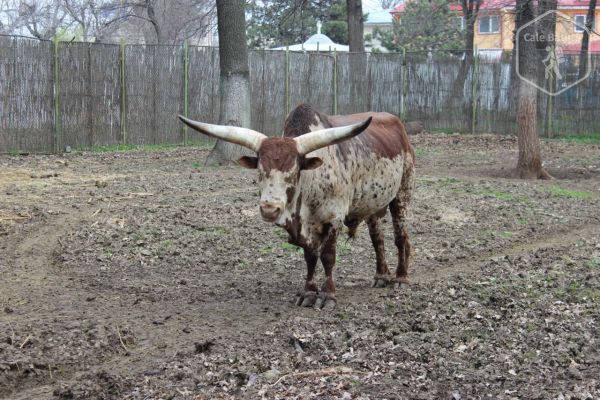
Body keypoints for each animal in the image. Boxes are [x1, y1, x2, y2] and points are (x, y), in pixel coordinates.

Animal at [178, 103, 414, 310]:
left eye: (293, 172)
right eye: (260, 172)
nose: (269, 209)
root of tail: (398, 125)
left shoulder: (334, 218)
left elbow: (328, 256)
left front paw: (328, 295)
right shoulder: (306, 228)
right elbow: (310, 257)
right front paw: (308, 293)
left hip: (402, 193)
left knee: (400, 237)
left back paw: (401, 278)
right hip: (373, 203)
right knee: (377, 239)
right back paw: (381, 276)